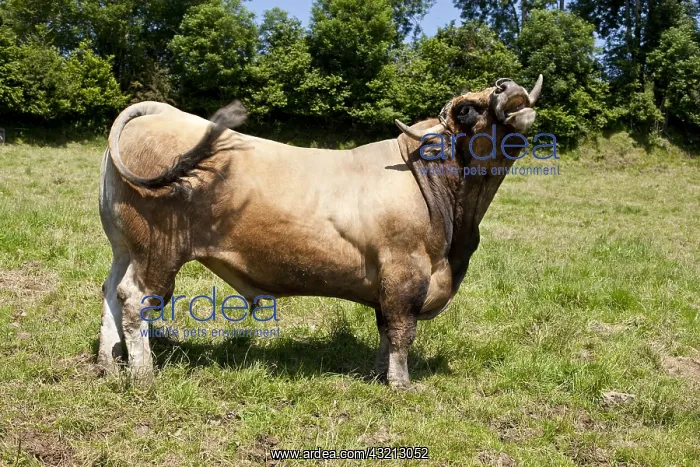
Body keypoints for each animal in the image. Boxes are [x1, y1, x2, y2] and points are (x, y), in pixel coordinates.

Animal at [98, 76, 543, 388]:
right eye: (466, 109)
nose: (507, 85)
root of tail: (162, 113)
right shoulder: (405, 271)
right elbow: (402, 331)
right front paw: (401, 383)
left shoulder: (389, 283)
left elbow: (386, 329)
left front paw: (379, 373)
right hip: (159, 250)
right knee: (134, 299)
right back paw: (143, 374)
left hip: (125, 247)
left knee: (110, 293)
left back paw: (108, 363)